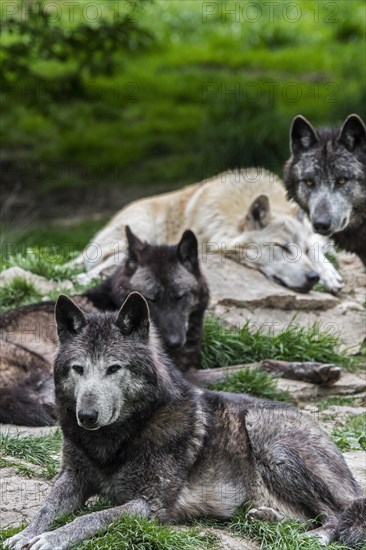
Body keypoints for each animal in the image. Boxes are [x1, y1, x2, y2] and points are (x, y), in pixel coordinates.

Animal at [4, 296, 364, 550]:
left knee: (342, 510)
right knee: (308, 516)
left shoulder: (149, 506)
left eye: (114, 368)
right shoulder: (72, 479)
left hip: (268, 438)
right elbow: (46, 508)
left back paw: (314, 537)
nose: (86, 417)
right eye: (78, 369)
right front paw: (24, 534)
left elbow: (91, 518)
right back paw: (269, 518)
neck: (119, 437)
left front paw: (50, 539)